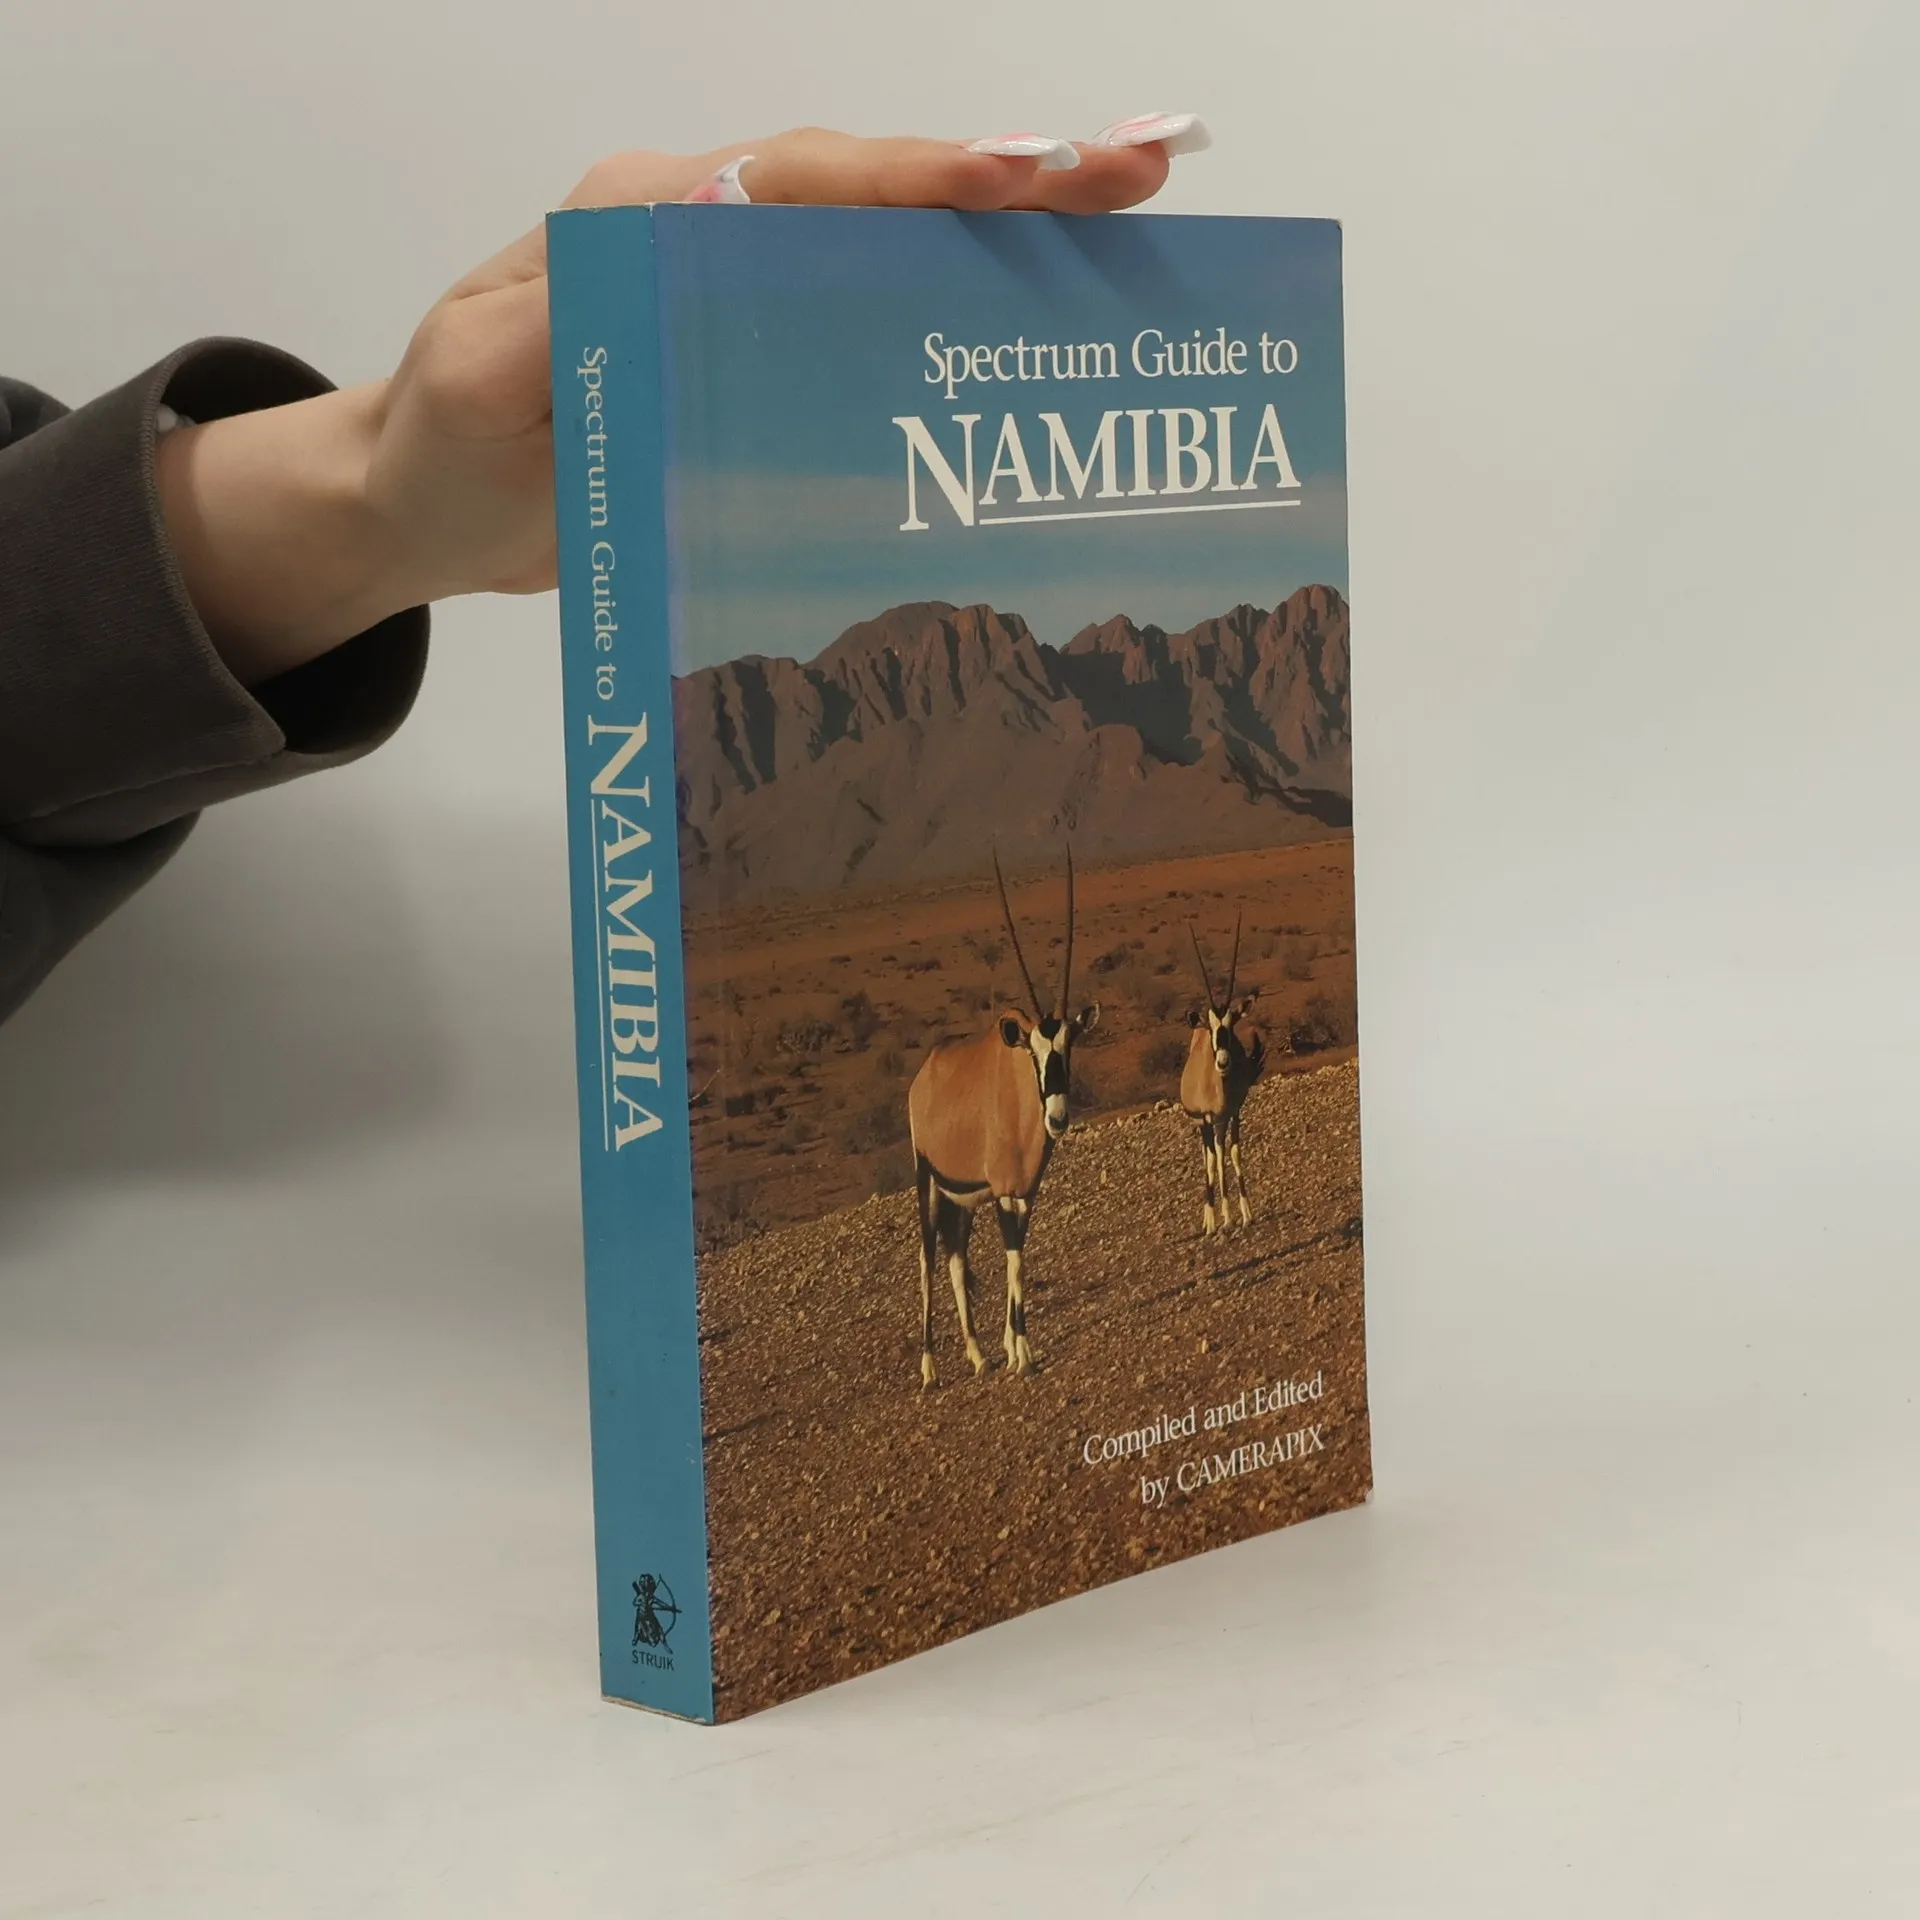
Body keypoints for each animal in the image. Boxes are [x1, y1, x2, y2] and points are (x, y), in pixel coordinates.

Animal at [906, 849, 1099, 1387]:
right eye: (1033, 1052)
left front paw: (1012, 1348)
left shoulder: (1023, 1192)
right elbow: (1012, 1253)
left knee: (955, 1259)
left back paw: (977, 1356)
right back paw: (929, 1368)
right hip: (928, 1181)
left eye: (1069, 1046)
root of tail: (924, 1076)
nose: (1058, 1117)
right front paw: (1025, 1353)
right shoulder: (1002, 1192)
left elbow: (1018, 1255)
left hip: (962, 1198)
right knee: (928, 1258)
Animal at [1179, 914, 1265, 1235]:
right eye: (1213, 1027)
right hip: (1202, 1123)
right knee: (1209, 1159)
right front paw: (1225, 1219)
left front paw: (1246, 1214)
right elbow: (1215, 1161)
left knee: (1216, 1154)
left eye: (1234, 1023)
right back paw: (1210, 1220)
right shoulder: (1209, 1117)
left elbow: (1235, 1152)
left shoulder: (1234, 1112)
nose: (1224, 1062)